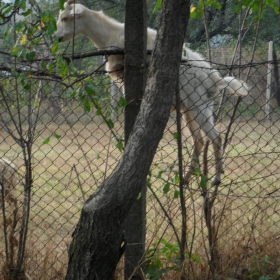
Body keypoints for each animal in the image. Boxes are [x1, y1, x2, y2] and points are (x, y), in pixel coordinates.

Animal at [54, 0, 247, 186]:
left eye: (65, 18)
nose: (57, 37)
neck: (111, 34)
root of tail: (214, 78)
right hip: (192, 109)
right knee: (199, 140)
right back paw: (185, 178)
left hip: (197, 105)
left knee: (216, 138)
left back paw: (216, 179)